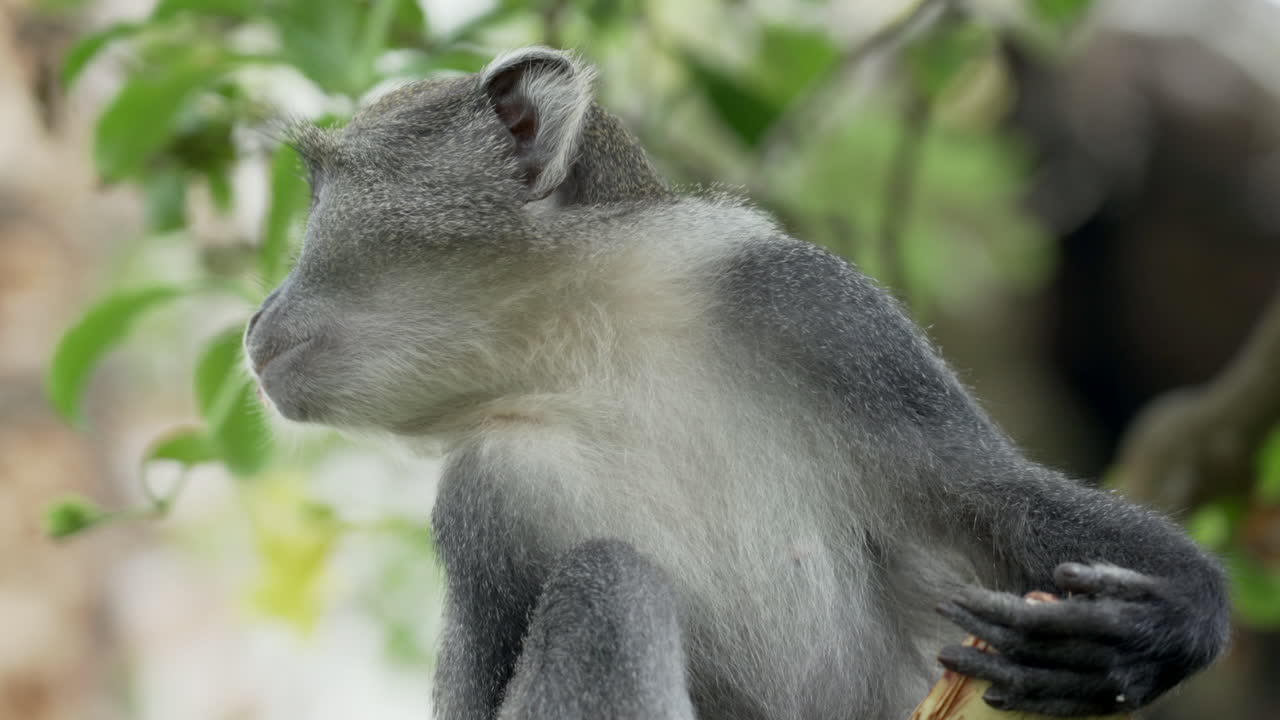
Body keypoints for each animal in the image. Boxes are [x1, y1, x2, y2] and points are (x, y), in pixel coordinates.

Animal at [243, 47, 1231, 720]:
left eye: (322, 194)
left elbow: (977, 490)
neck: (590, 356)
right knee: (609, 585)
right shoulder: (484, 494)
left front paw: (1167, 623)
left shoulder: (816, 308)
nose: (256, 315)